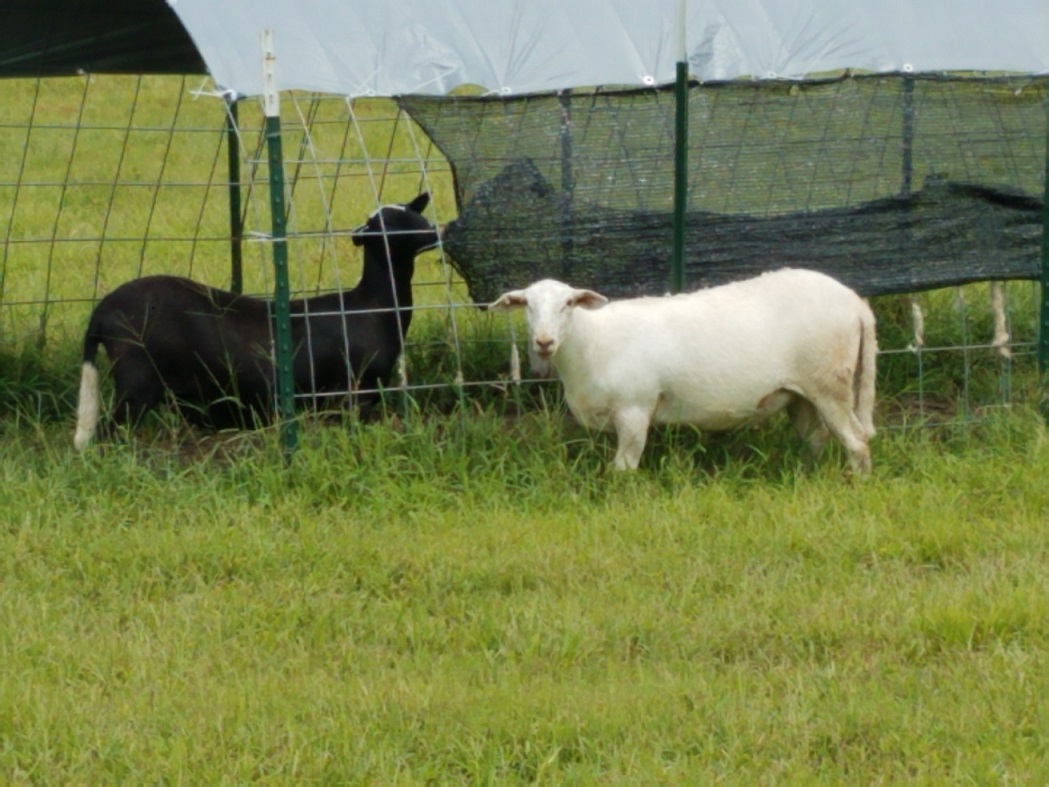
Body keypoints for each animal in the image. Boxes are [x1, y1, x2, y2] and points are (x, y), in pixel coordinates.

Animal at [490, 268, 876, 474]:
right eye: (526, 305)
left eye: (568, 304)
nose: (543, 341)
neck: (592, 341)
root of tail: (855, 302)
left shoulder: (635, 409)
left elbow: (624, 466)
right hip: (800, 394)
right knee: (817, 437)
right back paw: (805, 472)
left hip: (829, 383)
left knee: (856, 441)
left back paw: (857, 484)